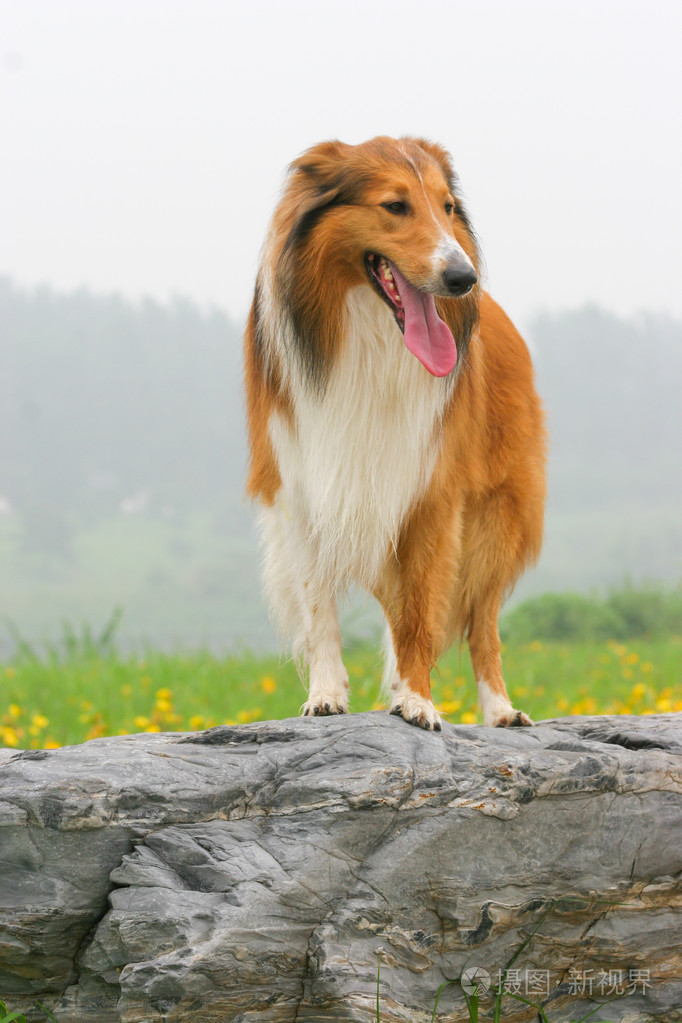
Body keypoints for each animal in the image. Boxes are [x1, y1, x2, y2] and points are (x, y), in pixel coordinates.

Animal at [242, 136, 548, 732]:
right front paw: (327, 696)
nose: (463, 279)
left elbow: (421, 612)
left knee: (483, 622)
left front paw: (417, 700)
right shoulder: (302, 484)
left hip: (499, 516)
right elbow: (318, 606)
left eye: (448, 207)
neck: (371, 335)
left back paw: (501, 710)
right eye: (395, 206)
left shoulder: (431, 491)